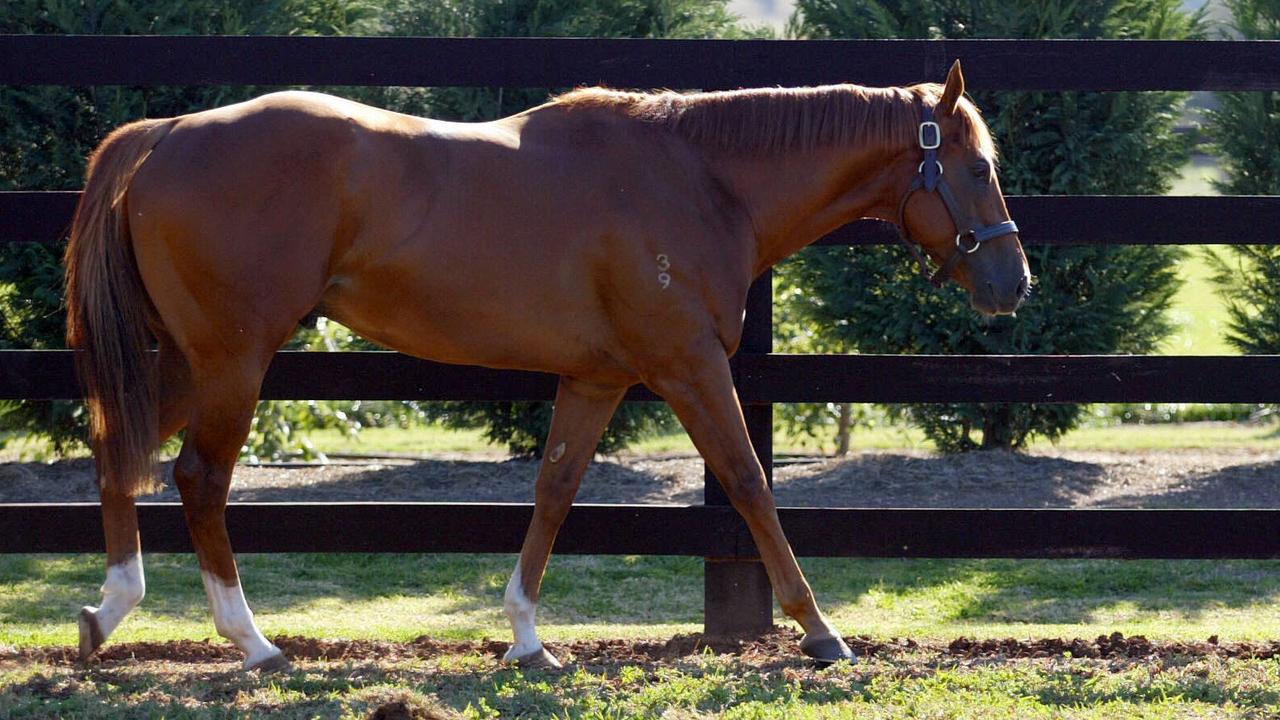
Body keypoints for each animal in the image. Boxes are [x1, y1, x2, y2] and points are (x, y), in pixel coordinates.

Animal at [67, 60, 1029, 666]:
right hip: (235, 359)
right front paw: (821, 632)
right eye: (980, 167)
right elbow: (749, 483)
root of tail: (167, 135)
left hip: (191, 360)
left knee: (119, 453)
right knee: (199, 479)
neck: (701, 180)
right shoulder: (687, 366)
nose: (1013, 281)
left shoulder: (598, 377)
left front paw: (529, 640)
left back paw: (109, 612)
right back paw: (253, 643)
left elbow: (556, 490)